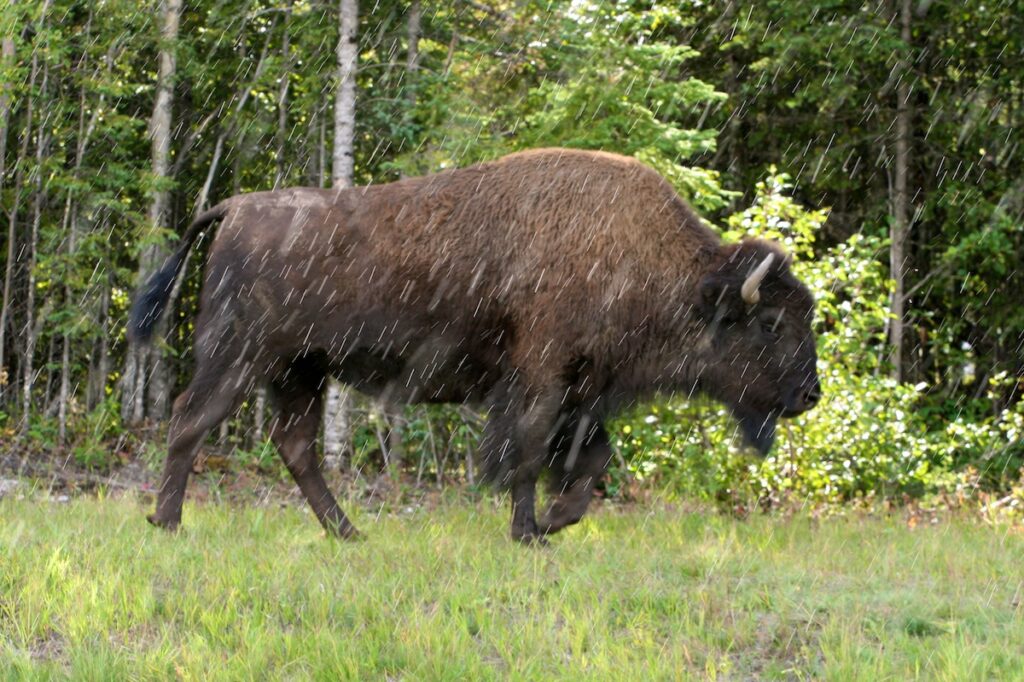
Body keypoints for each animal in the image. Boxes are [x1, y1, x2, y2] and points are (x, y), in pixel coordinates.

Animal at [134, 148, 823, 540]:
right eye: (770, 324)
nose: (810, 395)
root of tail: (234, 207)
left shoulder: (583, 392)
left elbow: (590, 462)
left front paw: (554, 523)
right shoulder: (542, 378)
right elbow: (526, 454)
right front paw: (529, 531)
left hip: (300, 369)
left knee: (295, 445)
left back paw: (349, 534)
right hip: (240, 356)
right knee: (191, 420)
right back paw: (167, 524)